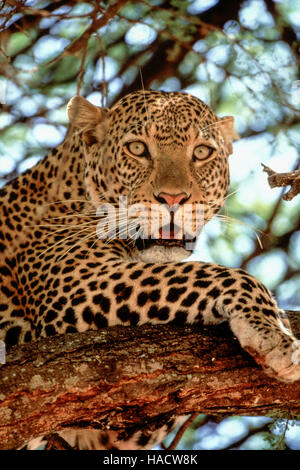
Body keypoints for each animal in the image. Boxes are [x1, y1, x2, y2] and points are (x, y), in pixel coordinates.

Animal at [0, 90, 298, 450]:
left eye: (201, 152)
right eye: (138, 148)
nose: (173, 198)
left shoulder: (108, 433)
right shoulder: (79, 281)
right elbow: (218, 274)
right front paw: (274, 333)